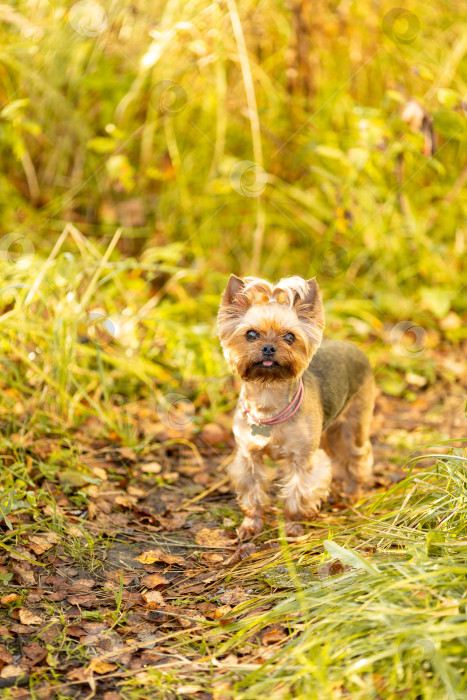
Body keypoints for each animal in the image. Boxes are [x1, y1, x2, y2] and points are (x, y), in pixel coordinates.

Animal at [218, 276, 374, 540]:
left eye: (289, 337)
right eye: (251, 334)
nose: (269, 347)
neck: (268, 398)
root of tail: (354, 347)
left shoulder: (303, 459)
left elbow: (297, 494)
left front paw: (293, 527)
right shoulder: (249, 457)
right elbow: (253, 494)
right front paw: (251, 524)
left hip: (354, 427)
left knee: (357, 457)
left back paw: (353, 493)